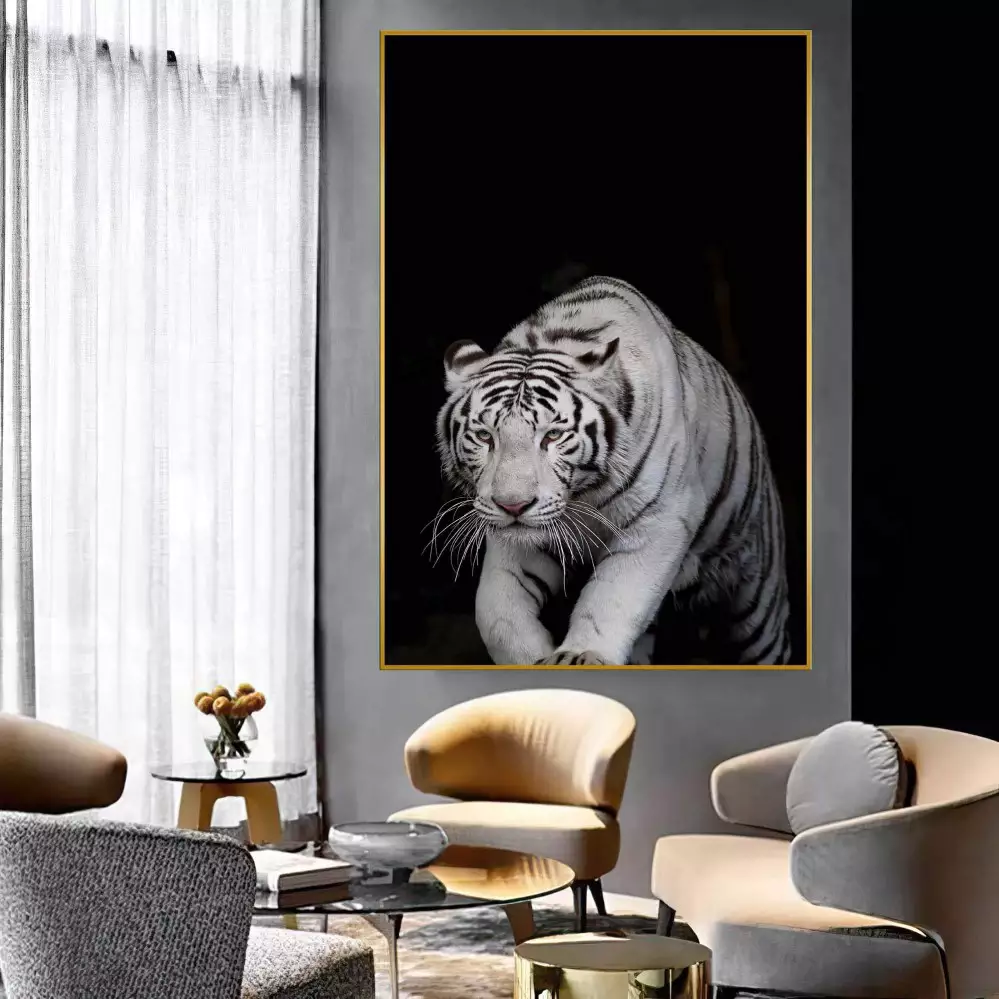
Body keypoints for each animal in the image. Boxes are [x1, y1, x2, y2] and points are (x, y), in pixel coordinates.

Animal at [433, 275, 791, 666]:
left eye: (553, 435)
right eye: (485, 436)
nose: (513, 505)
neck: (585, 493)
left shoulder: (660, 521)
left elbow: (611, 599)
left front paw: (582, 655)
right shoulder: (515, 539)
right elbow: (497, 612)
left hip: (757, 603)